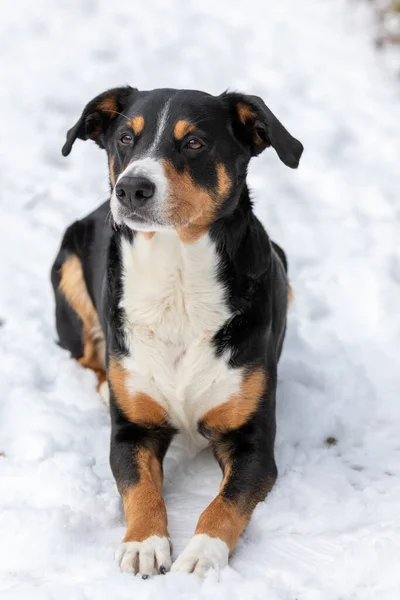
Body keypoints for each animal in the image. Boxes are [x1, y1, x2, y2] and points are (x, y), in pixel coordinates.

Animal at [50, 84, 304, 576]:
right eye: (125, 138)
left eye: (194, 143)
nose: (132, 187)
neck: (178, 281)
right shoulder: (131, 432)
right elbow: (140, 489)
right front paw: (144, 542)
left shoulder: (253, 443)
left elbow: (225, 504)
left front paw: (202, 552)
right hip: (68, 268)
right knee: (86, 354)